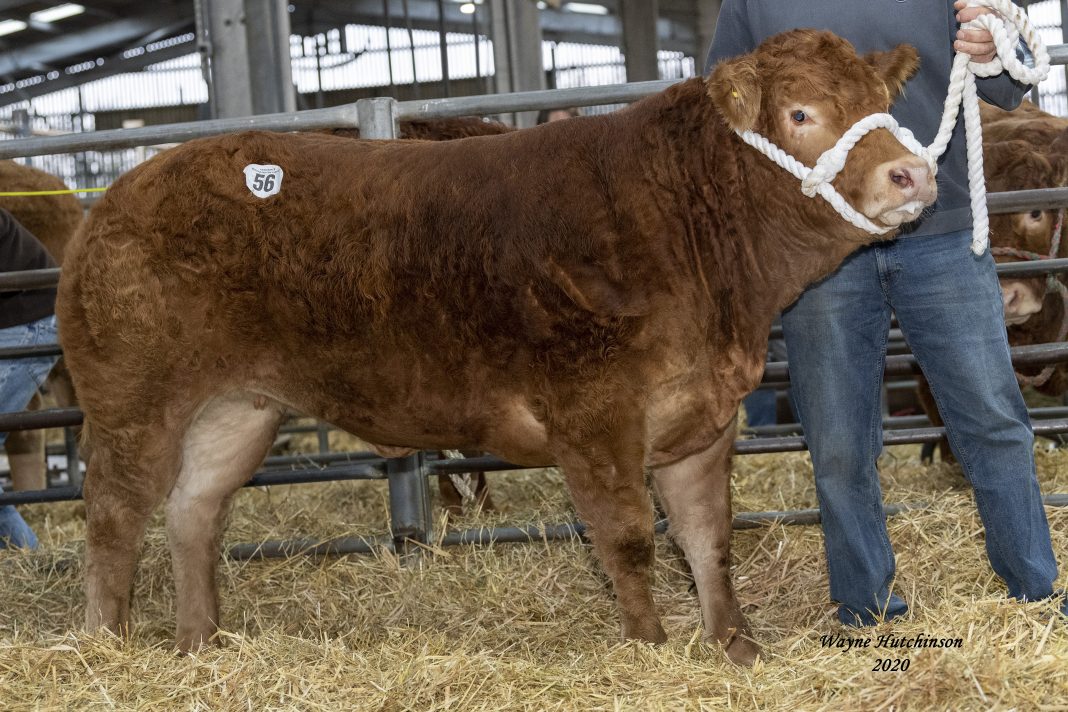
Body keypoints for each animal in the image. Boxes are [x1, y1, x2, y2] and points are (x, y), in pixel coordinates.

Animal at [56, 30, 935, 666]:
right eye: (800, 115)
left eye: (882, 103)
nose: (912, 174)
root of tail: (121, 193)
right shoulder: (594, 414)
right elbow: (628, 536)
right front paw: (650, 651)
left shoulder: (704, 415)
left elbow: (708, 538)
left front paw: (737, 649)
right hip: (134, 399)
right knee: (113, 514)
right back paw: (106, 647)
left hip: (238, 407)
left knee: (193, 512)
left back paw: (201, 644)